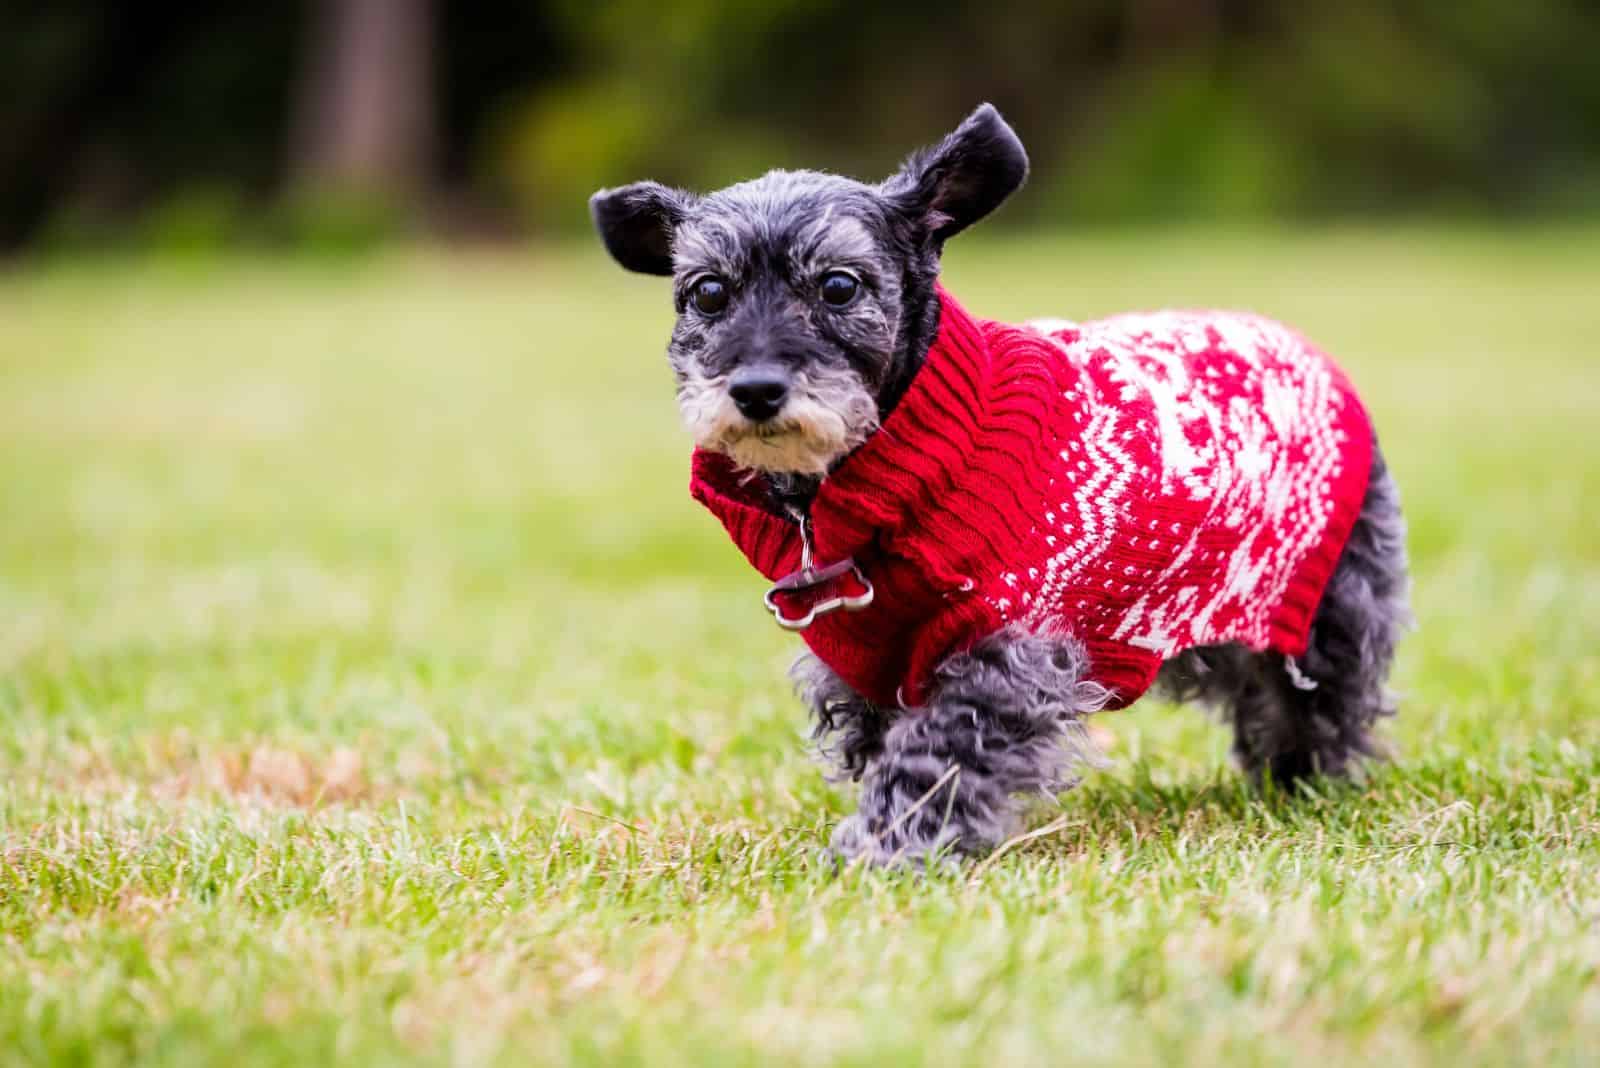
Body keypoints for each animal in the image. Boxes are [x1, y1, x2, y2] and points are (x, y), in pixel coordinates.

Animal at [592, 103, 1414, 863]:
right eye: (707, 292)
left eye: (838, 285)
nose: (756, 389)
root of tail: (1308, 351)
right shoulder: (867, 666)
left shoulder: (1008, 658)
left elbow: (935, 760)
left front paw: (885, 850)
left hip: (1329, 610)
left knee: (1320, 707)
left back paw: (1306, 783)